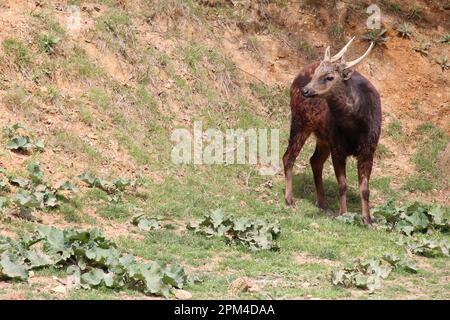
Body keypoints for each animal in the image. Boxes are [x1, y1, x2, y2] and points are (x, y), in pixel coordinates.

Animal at [284, 37, 382, 225]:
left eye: (329, 77)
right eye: (316, 73)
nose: (305, 90)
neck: (356, 128)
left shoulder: (369, 150)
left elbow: (365, 189)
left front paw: (368, 220)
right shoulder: (338, 147)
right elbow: (342, 184)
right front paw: (343, 214)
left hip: (324, 137)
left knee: (314, 161)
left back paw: (323, 204)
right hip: (300, 121)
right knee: (289, 156)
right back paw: (289, 200)